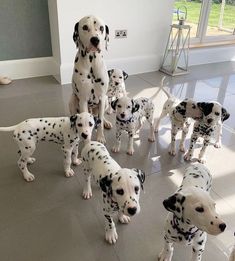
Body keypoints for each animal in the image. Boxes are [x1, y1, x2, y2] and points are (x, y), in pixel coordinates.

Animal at [69, 15, 111, 143]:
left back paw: (106, 122)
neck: (91, 62)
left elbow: (100, 121)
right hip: (72, 100)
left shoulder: (102, 98)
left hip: (106, 100)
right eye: (85, 27)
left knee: (101, 116)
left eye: (101, 28)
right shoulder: (83, 100)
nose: (95, 40)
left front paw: (100, 137)